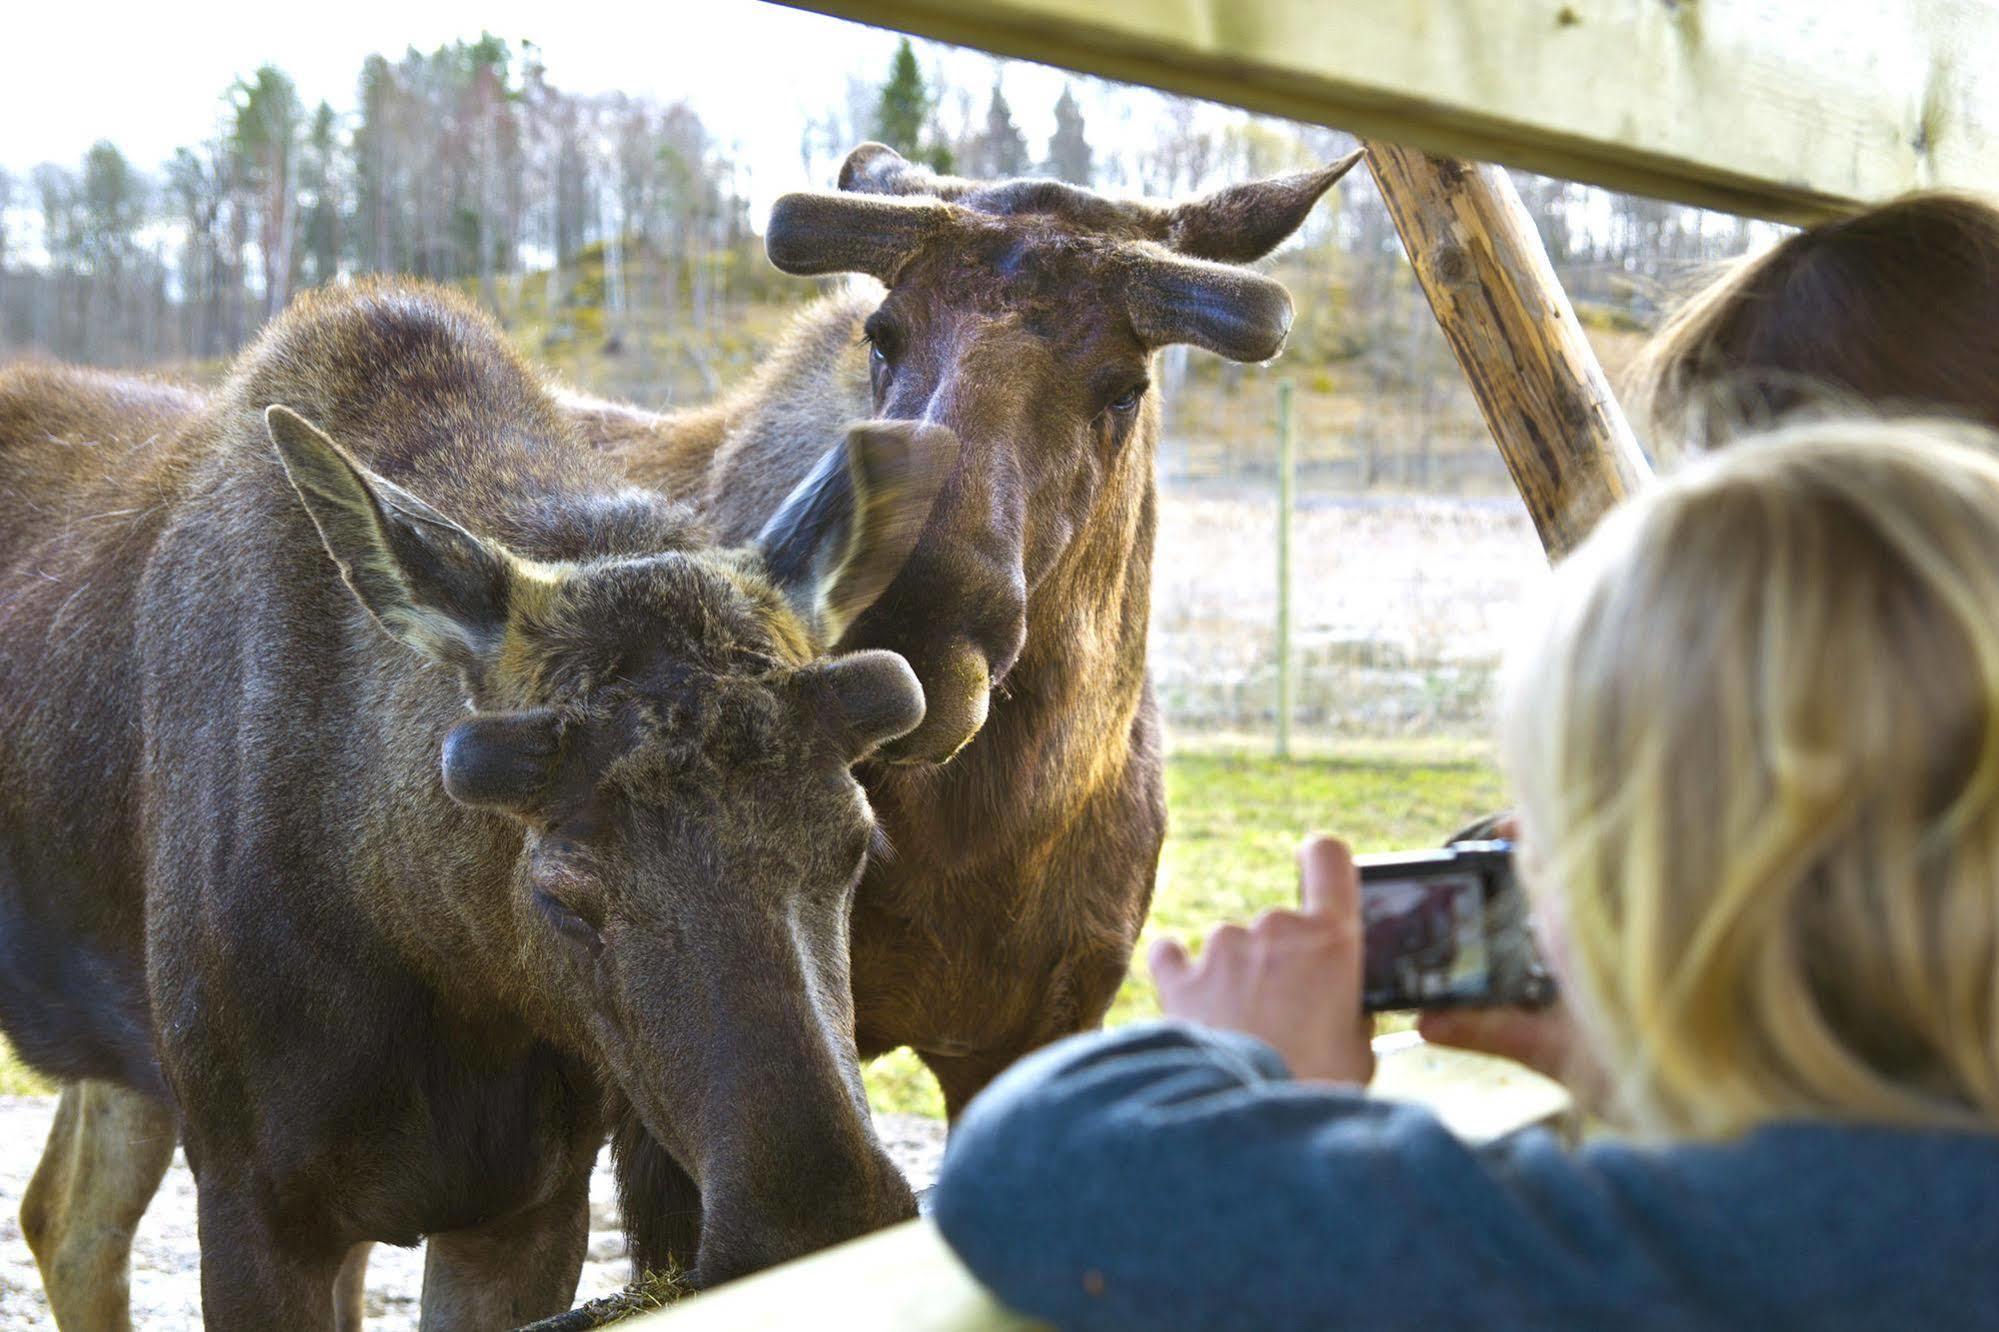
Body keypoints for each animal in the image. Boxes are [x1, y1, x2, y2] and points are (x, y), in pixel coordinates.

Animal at [0, 282, 959, 1320]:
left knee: (70, 1213)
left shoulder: (530, 1206)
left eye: (857, 846)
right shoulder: (253, 1194)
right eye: (562, 891)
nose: (817, 1225)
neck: (434, 960)